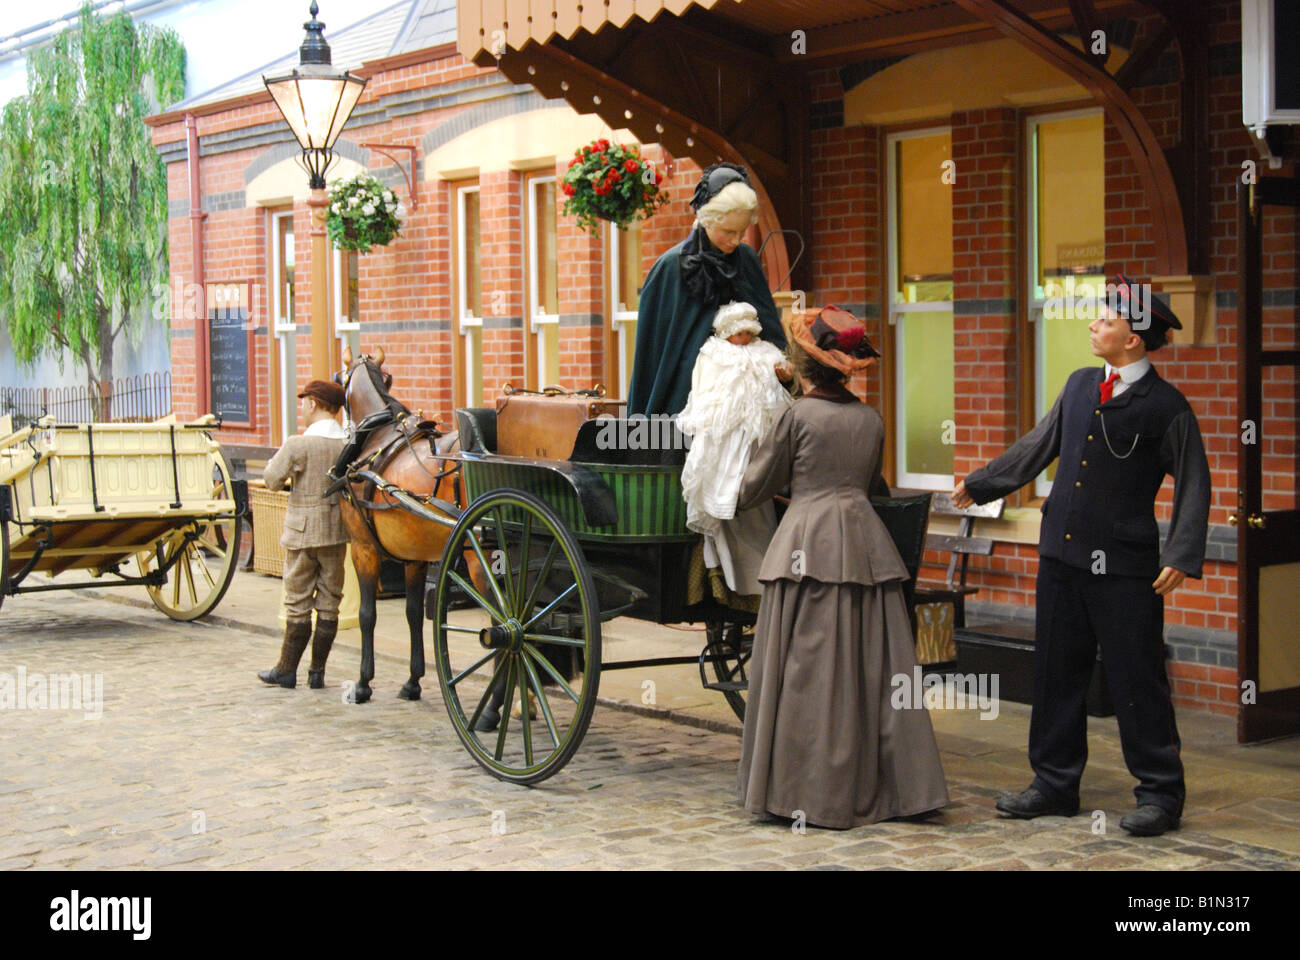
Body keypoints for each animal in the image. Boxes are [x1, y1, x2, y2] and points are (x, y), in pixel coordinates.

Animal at [335, 348, 462, 697]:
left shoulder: (363, 548)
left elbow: (367, 614)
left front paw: (363, 682)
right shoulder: (414, 557)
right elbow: (413, 614)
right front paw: (413, 680)